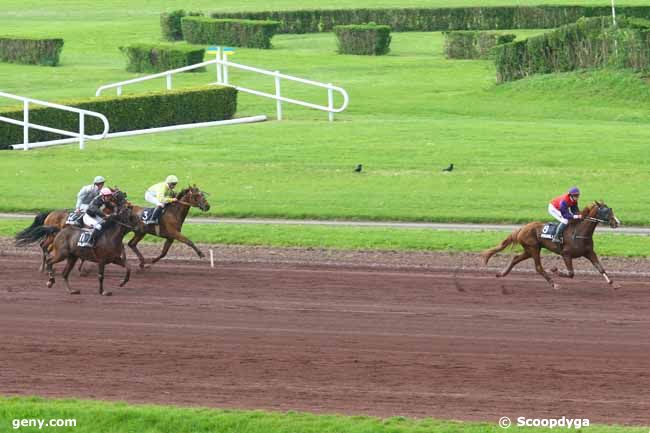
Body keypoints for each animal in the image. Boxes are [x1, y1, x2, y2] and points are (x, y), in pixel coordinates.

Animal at [478, 202, 620, 290]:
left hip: (530, 249)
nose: (617, 222)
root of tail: (522, 228)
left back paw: (501, 274)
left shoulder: (589, 252)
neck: (579, 232)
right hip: (534, 248)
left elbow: (601, 268)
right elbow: (571, 273)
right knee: (538, 267)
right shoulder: (566, 254)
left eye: (611, 209)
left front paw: (613, 284)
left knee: (515, 258)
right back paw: (554, 284)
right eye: (606, 211)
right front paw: (555, 270)